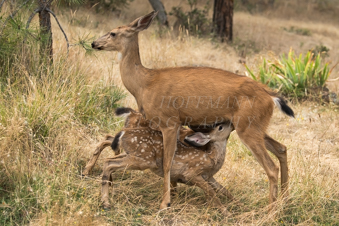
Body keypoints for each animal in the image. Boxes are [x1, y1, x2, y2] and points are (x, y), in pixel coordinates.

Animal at [91, 11, 294, 210]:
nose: (94, 43)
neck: (144, 83)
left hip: (248, 127)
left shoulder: (170, 121)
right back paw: (285, 200)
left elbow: (167, 162)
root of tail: (270, 96)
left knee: (271, 167)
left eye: (113, 33)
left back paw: (270, 211)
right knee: (281, 148)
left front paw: (165, 203)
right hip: (253, 126)